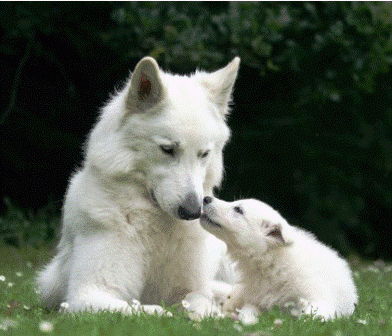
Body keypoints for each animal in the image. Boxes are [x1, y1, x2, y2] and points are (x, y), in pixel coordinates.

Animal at [36, 56, 239, 316]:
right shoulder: (89, 294)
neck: (157, 225)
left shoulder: (192, 290)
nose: (193, 212)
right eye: (167, 149)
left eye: (204, 154)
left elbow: (201, 305)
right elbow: (149, 310)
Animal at [201, 197, 356, 322]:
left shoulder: (320, 298)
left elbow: (312, 315)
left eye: (238, 209)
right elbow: (248, 312)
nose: (206, 198)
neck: (272, 264)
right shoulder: (255, 300)